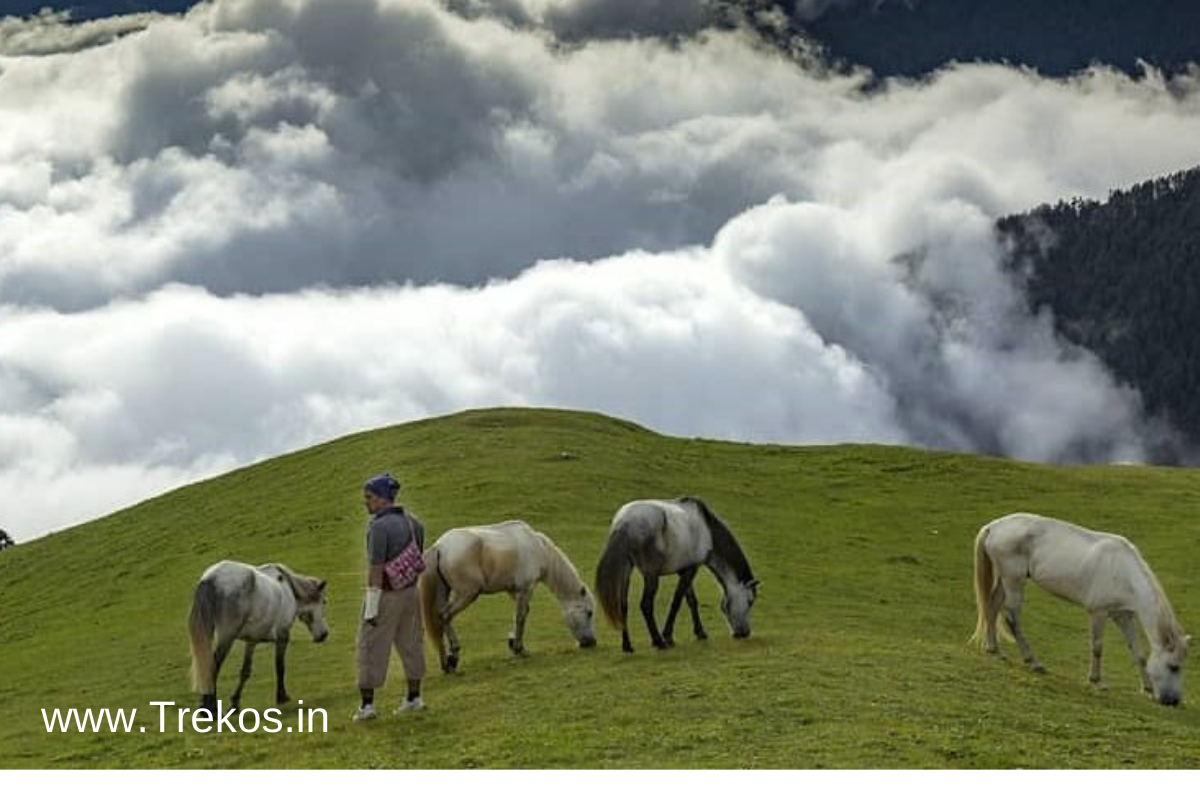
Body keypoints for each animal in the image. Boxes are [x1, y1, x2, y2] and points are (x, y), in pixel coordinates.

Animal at [420, 516, 597, 672]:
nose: (591, 642)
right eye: (589, 613)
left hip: (446, 592)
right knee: (444, 616)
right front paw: (519, 649)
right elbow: (520, 617)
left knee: (439, 622)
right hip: (467, 594)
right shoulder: (525, 589)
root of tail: (440, 547)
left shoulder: (514, 591)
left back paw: (446, 663)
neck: (539, 548)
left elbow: (521, 614)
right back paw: (453, 656)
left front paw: (513, 642)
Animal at [974, 513, 1190, 705]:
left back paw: (994, 650)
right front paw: (1096, 681)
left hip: (1005, 581)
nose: (1173, 702)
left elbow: (1138, 652)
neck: (1123, 571)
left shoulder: (1123, 616)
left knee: (992, 608)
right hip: (1013, 581)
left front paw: (1147, 689)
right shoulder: (1098, 613)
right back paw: (1033, 662)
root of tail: (994, 526)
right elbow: (1097, 647)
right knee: (1012, 618)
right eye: (1173, 667)